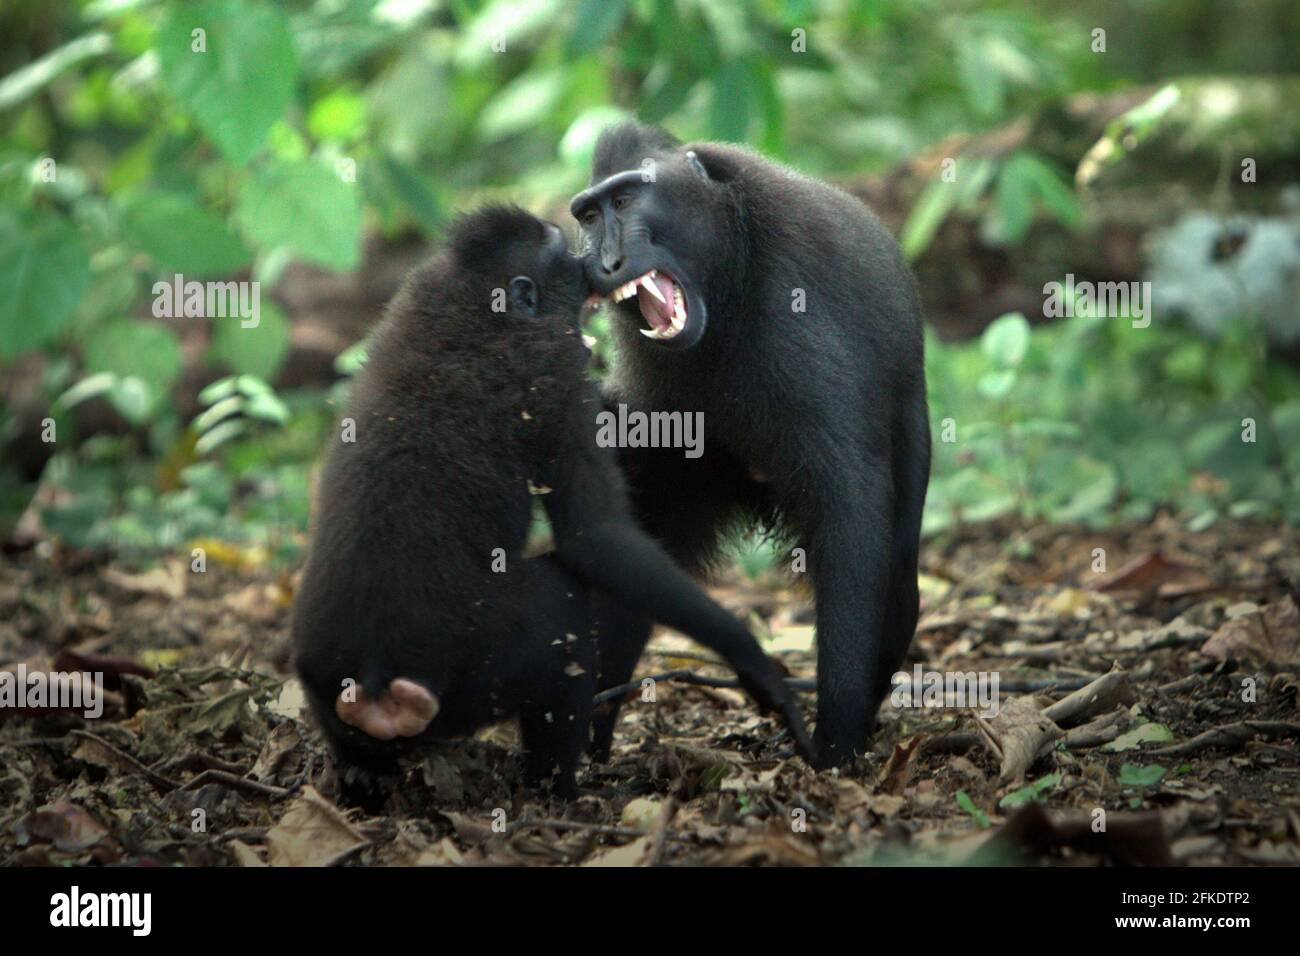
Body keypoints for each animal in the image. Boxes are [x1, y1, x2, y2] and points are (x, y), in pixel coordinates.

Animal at [291, 205, 816, 800]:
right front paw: (754, 663)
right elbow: (597, 537)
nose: (592, 266)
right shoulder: (557, 373)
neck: (471, 304)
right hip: (476, 663)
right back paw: (562, 792)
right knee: (562, 610)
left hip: (324, 682)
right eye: (565, 259)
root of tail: (376, 680)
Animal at [570, 123, 931, 768]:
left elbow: (851, 509)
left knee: (896, 587)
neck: (727, 270)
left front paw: (835, 740)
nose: (604, 261)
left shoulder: (793, 304)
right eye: (588, 216)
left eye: (626, 200)